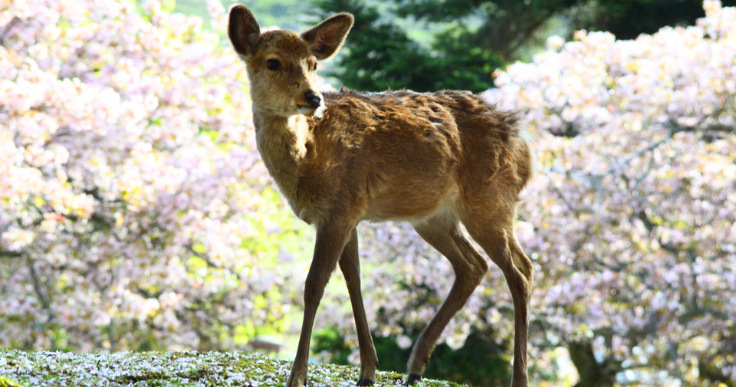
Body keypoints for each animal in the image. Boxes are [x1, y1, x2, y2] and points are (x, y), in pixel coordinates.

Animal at [226, 4, 536, 386]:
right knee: (473, 265)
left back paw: (518, 376)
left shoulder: (338, 208)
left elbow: (314, 285)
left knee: (520, 270)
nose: (313, 97)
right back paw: (416, 365)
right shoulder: (347, 214)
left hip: (490, 199)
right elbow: (353, 281)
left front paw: (297, 375)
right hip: (433, 216)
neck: (309, 156)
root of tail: (524, 147)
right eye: (273, 62)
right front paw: (367, 370)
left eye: (313, 64)